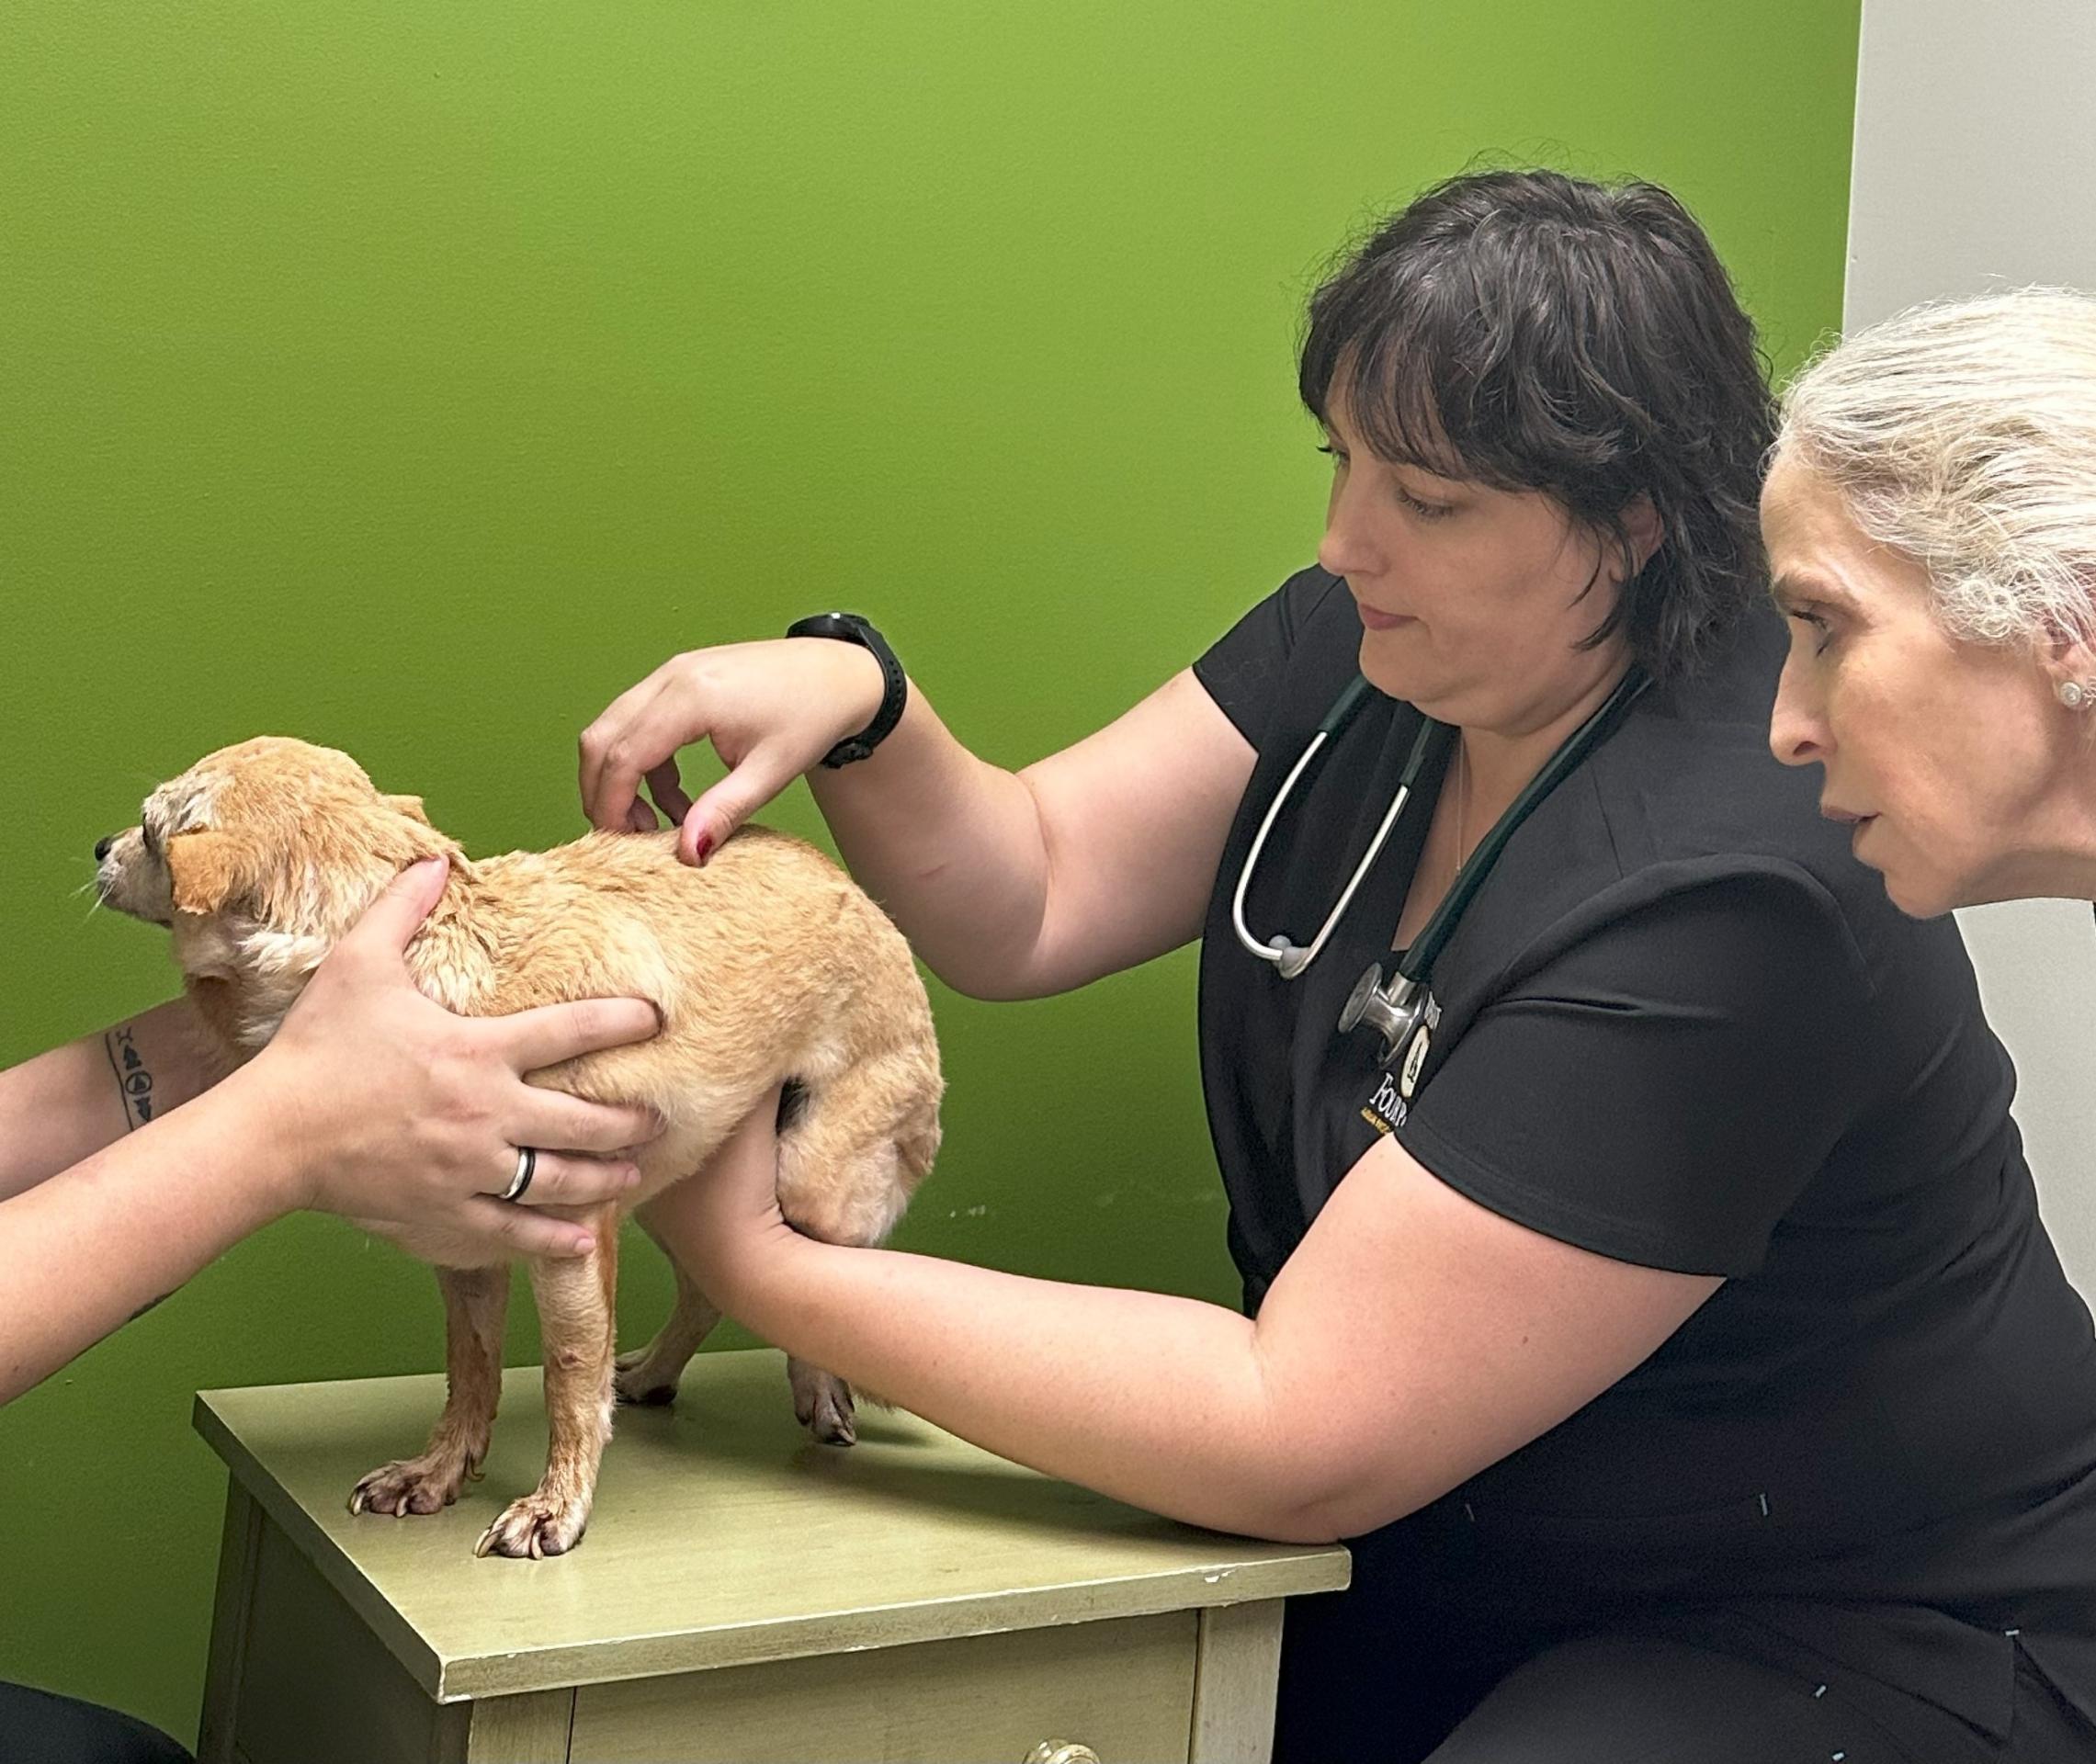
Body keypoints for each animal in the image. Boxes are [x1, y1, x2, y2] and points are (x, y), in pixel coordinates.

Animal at [104, 737, 943, 1550]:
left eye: (147, 830)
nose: (98, 846)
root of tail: (857, 892)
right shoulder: (468, 1260)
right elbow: (471, 1370)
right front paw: (438, 1471)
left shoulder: (570, 1246)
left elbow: (568, 1380)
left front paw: (555, 1506)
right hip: (675, 1194)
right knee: (712, 1286)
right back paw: (654, 1374)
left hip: (812, 1175)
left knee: (820, 1274)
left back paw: (818, 1387)